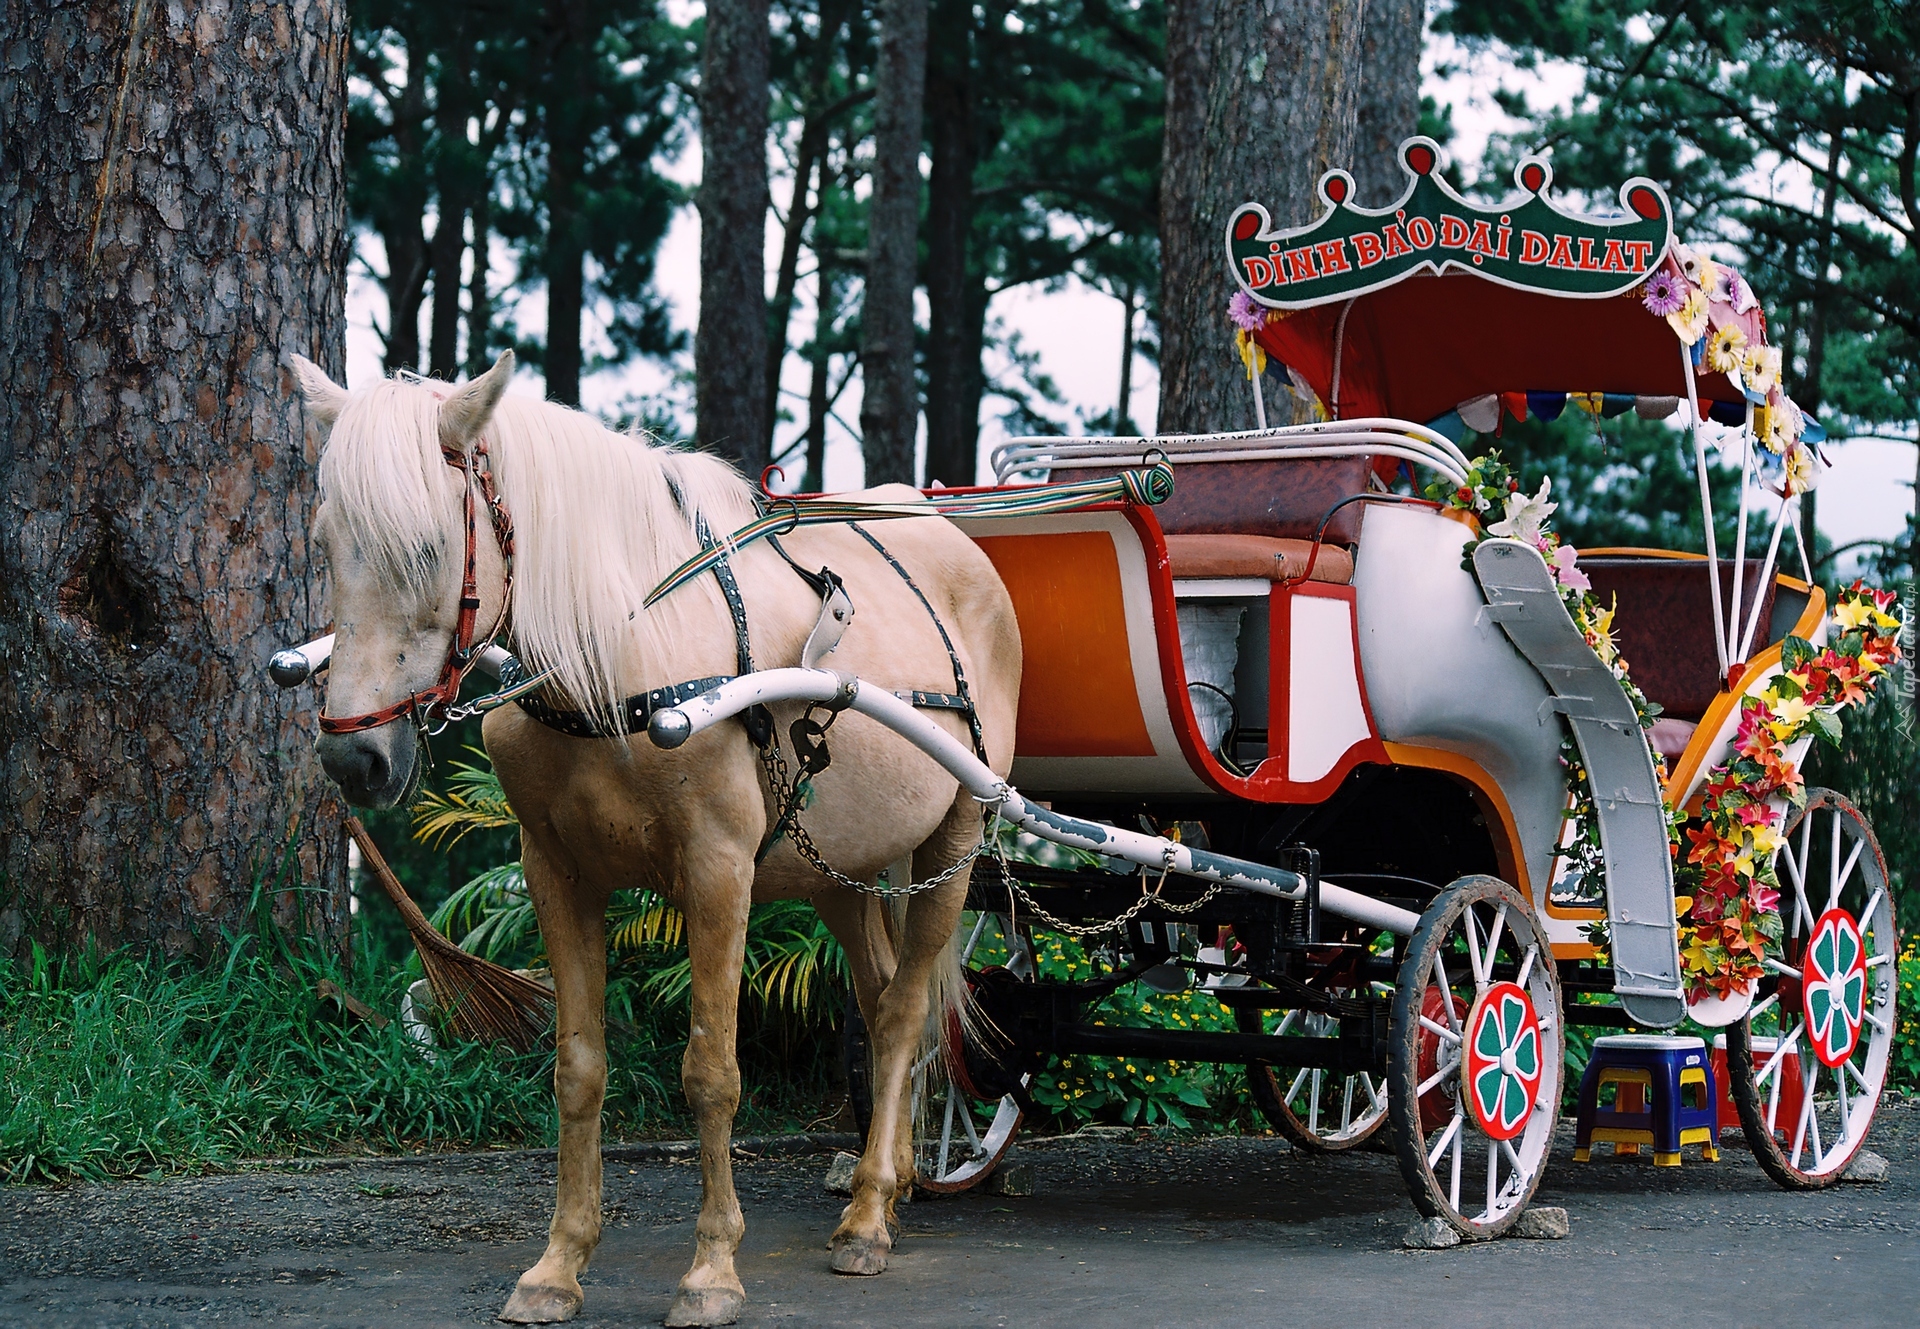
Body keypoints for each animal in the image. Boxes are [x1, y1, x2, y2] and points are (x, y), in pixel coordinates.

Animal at [288, 347, 1021, 1321]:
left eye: (430, 548)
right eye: (326, 541)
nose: (354, 757)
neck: (614, 663)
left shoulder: (718, 873)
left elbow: (711, 1071)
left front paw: (711, 1269)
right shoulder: (556, 872)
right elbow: (578, 1067)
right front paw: (557, 1264)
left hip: (957, 837)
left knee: (906, 1012)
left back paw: (868, 1214)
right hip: (839, 866)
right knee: (876, 994)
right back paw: (891, 1178)